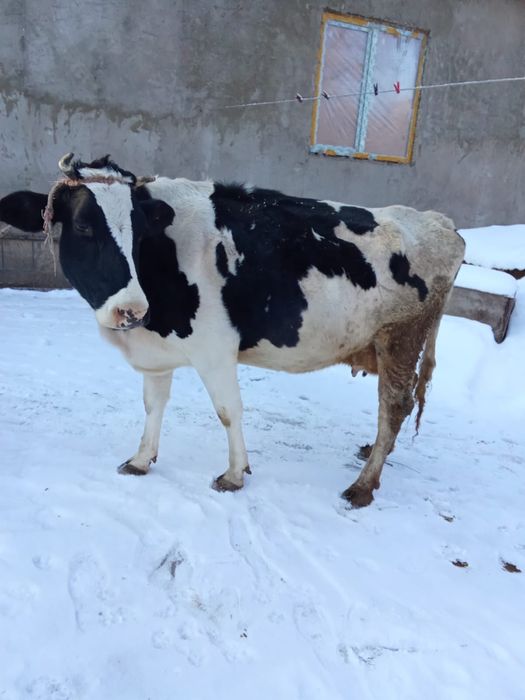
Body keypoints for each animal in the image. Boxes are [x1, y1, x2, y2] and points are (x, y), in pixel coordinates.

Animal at [0, 154, 465, 507]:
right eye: (83, 226)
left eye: (139, 231)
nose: (130, 310)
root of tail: (440, 223)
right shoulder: (156, 353)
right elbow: (153, 405)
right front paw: (140, 459)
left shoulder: (215, 348)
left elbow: (228, 411)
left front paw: (235, 474)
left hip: (401, 338)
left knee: (395, 406)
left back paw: (363, 485)